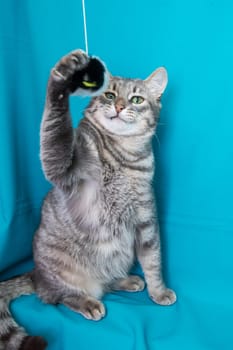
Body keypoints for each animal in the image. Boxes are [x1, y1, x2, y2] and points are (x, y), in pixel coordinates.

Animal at [0, 50, 176, 350]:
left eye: (136, 99)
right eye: (109, 94)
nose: (118, 106)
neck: (123, 156)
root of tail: (36, 274)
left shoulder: (145, 217)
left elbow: (153, 259)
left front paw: (158, 290)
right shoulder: (63, 167)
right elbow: (55, 128)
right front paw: (62, 76)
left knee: (104, 282)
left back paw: (126, 281)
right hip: (63, 275)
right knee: (57, 297)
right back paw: (87, 302)